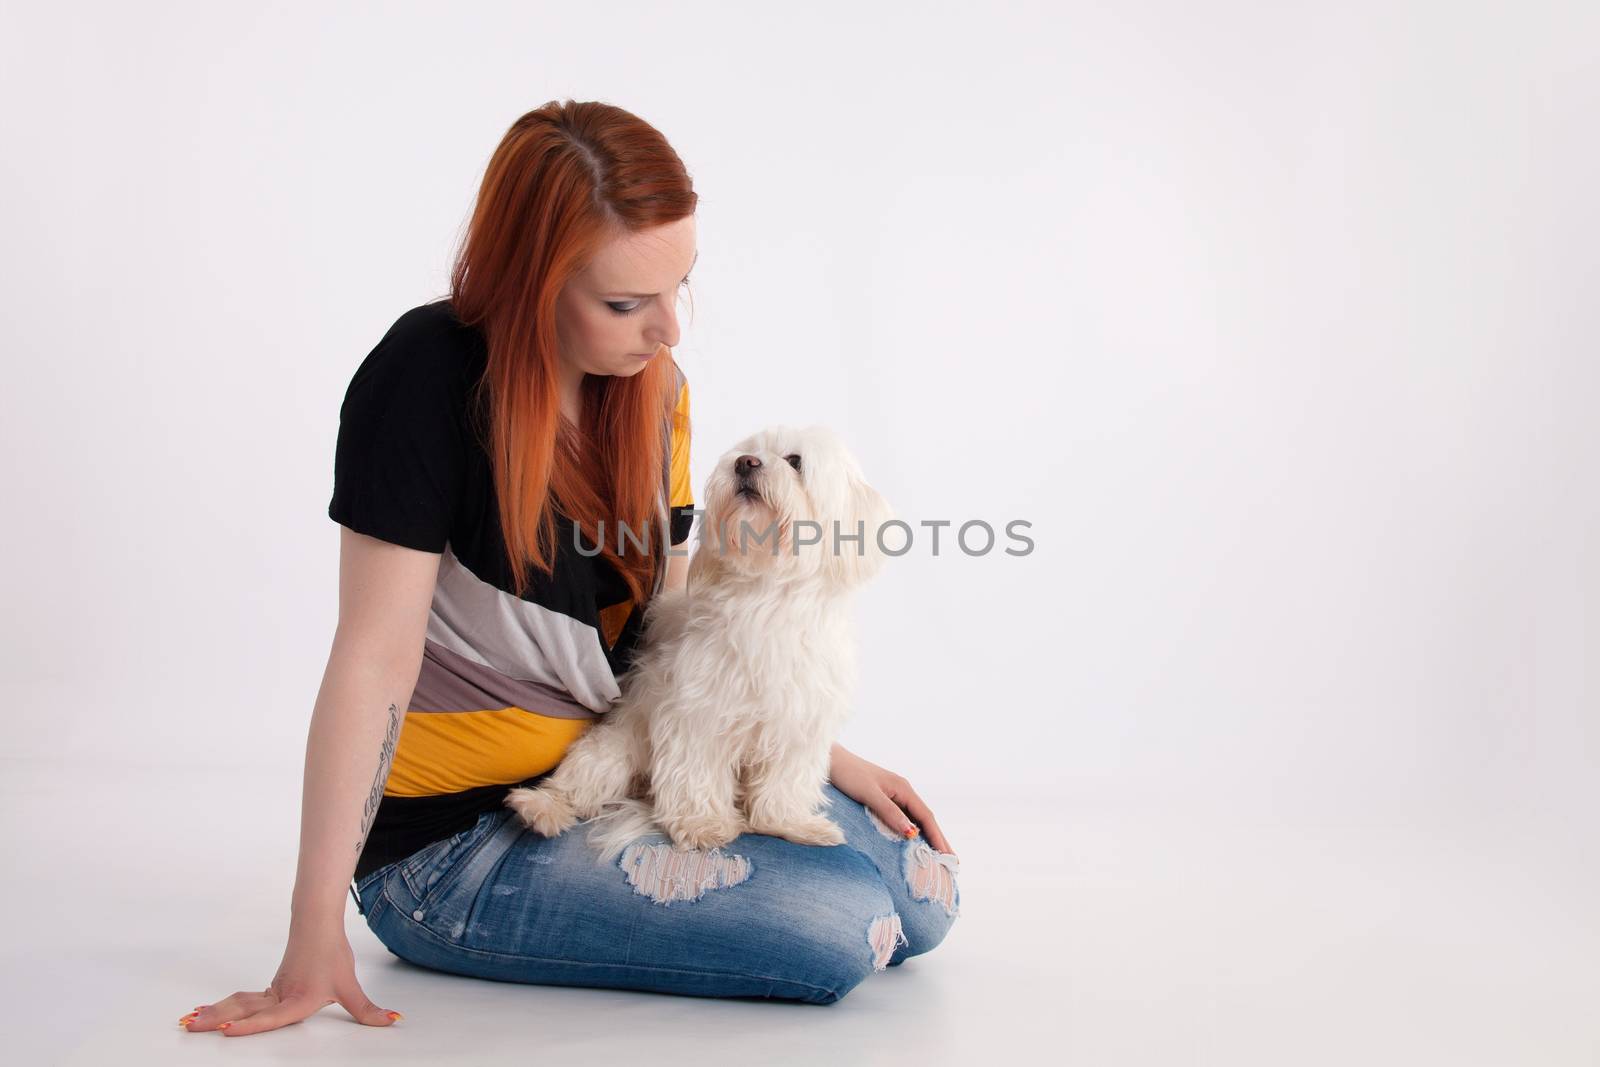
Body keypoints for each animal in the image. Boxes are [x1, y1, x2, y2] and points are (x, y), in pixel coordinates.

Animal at [505, 422, 896, 857]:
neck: (767, 593)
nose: (746, 463)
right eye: (747, 452)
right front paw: (702, 823)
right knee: (580, 783)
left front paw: (790, 822)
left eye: (795, 461)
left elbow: (784, 780)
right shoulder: (698, 709)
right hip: (614, 749)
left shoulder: (799, 718)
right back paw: (541, 808)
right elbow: (697, 768)